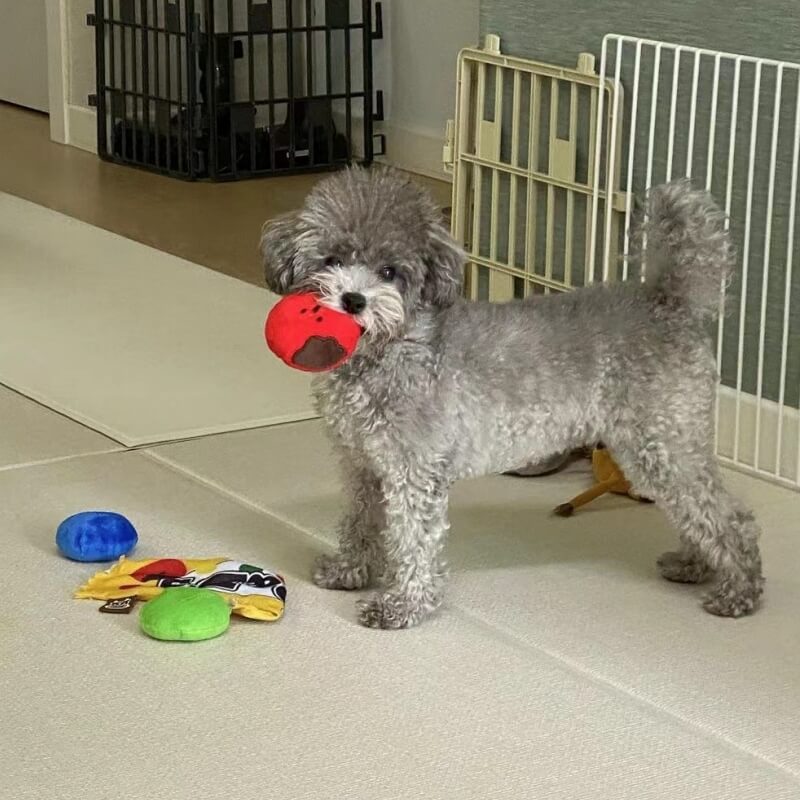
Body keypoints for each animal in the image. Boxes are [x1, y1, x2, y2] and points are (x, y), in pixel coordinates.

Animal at [260, 169, 764, 628]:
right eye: (331, 259)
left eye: (390, 272)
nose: (353, 300)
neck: (388, 349)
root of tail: (670, 301)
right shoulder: (362, 464)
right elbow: (361, 521)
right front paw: (350, 571)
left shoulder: (414, 470)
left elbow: (413, 541)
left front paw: (402, 605)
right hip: (661, 446)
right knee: (698, 511)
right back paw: (695, 565)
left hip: (662, 443)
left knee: (729, 516)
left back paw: (738, 591)